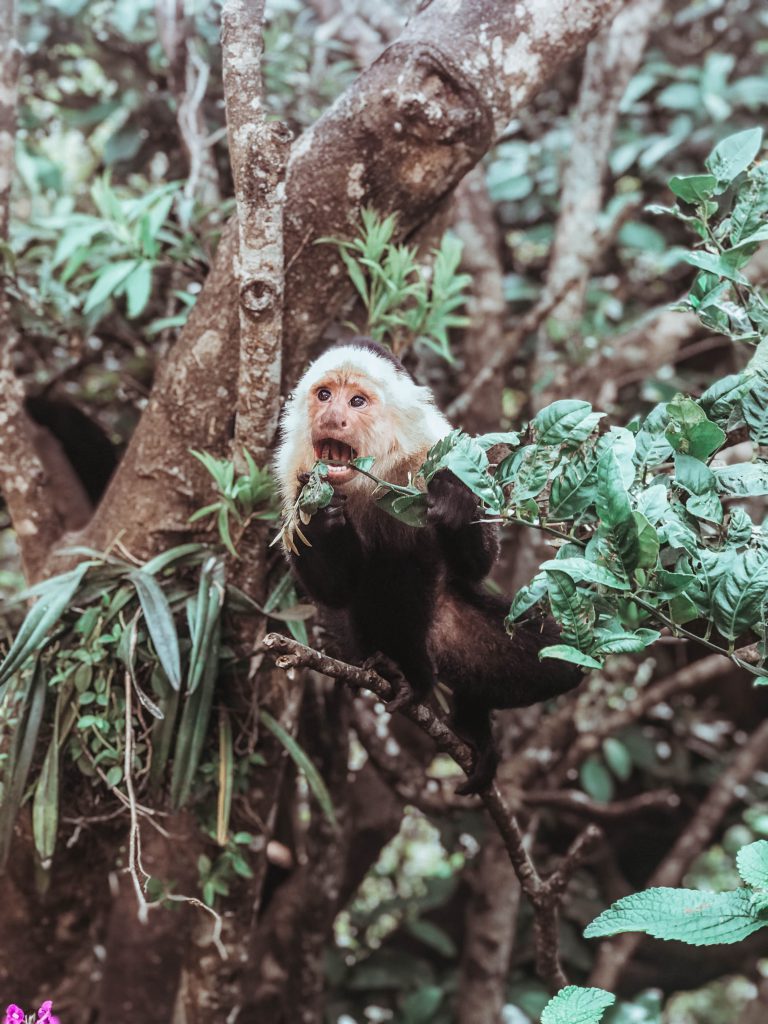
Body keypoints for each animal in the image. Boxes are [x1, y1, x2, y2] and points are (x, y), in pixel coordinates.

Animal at [274, 335, 581, 790]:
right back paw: (393, 670)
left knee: (562, 659)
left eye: (357, 401)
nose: (330, 416)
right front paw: (323, 515)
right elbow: (335, 590)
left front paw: (455, 502)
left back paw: (461, 714)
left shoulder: (434, 451)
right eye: (324, 395)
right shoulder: (291, 471)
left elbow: (476, 565)